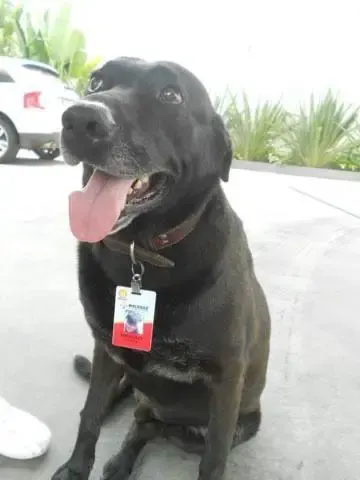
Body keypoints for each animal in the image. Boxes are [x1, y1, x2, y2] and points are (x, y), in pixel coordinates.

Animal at [52, 57, 270, 480]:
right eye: (95, 82)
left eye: (170, 94)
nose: (79, 119)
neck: (141, 252)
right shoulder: (106, 351)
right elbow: (89, 417)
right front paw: (74, 470)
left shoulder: (227, 380)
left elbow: (213, 460)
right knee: (136, 418)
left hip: (235, 422)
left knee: (151, 425)